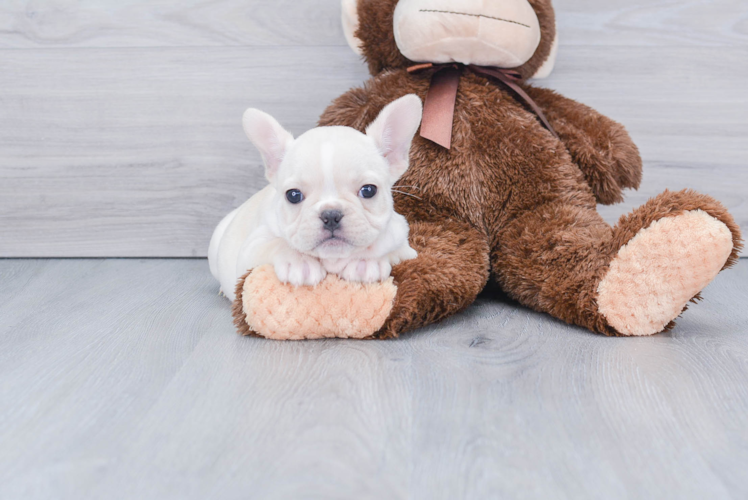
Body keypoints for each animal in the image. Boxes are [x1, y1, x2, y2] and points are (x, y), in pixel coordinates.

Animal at [207, 93, 424, 300]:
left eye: (368, 190)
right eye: (293, 195)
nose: (331, 215)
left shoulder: (406, 247)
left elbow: (385, 246)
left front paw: (365, 261)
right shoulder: (251, 249)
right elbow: (277, 243)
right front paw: (299, 262)